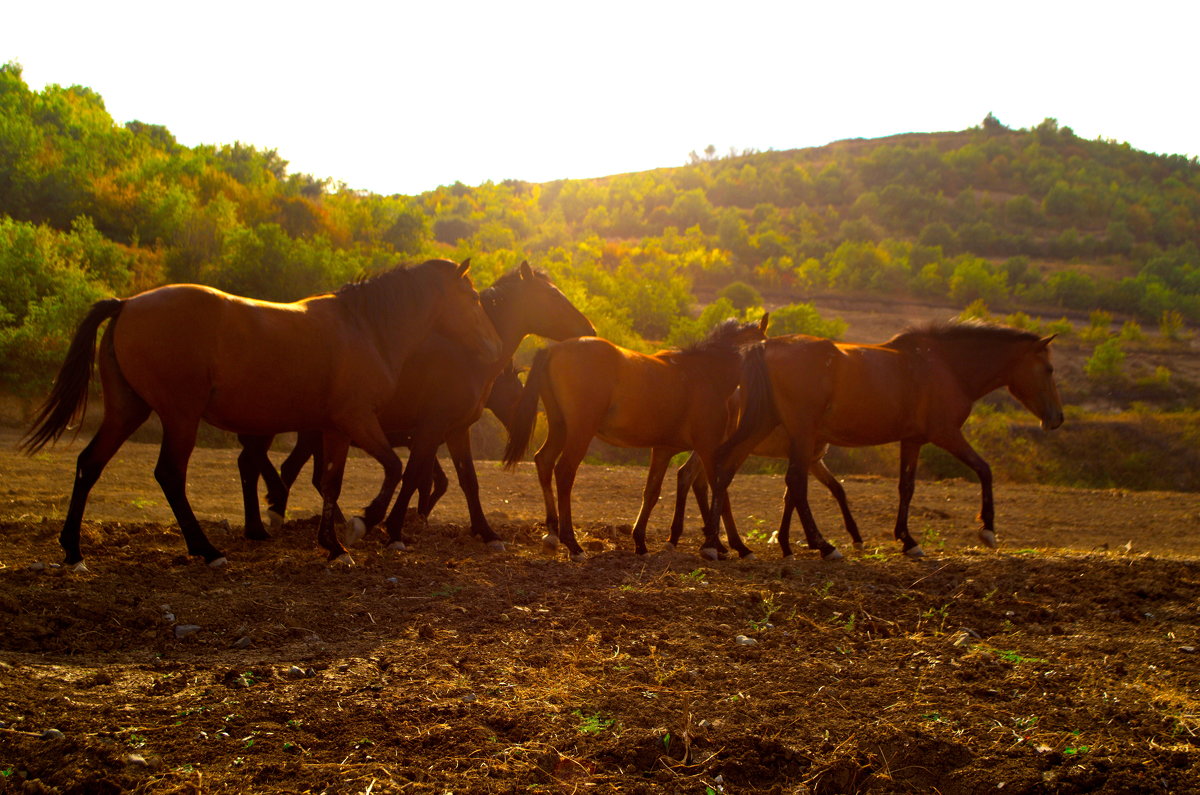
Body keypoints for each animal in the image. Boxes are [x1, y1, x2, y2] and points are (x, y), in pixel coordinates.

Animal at [23, 260, 501, 566]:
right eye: (472, 296)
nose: (492, 346)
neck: (364, 327)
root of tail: (127, 304)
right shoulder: (358, 421)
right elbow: (394, 468)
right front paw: (363, 523)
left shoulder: (336, 429)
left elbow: (331, 482)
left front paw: (333, 545)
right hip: (180, 416)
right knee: (170, 475)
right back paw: (207, 550)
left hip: (128, 411)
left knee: (90, 464)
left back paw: (73, 551)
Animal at [236, 261, 592, 554]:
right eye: (553, 297)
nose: (588, 329)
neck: (465, 352)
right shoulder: (431, 429)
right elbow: (412, 476)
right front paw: (390, 529)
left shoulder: (455, 431)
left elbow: (466, 481)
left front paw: (487, 533)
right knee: (263, 465)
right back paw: (269, 519)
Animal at [499, 317, 768, 559]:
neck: (704, 374)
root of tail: (555, 348)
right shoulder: (709, 448)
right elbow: (722, 495)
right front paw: (732, 546)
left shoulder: (663, 449)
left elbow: (651, 492)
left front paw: (640, 541)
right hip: (580, 432)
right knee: (564, 472)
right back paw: (572, 544)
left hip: (560, 427)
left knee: (544, 461)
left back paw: (553, 534)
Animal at [705, 321, 1065, 564]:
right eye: (1048, 369)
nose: (1057, 418)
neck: (944, 365)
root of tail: (766, 348)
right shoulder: (946, 434)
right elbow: (984, 469)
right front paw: (988, 529)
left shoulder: (913, 441)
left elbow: (906, 487)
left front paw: (907, 539)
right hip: (801, 433)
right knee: (792, 482)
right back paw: (823, 546)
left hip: (765, 426)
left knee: (725, 469)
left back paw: (718, 543)